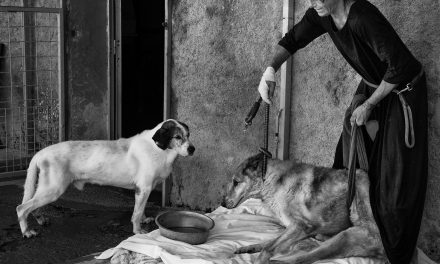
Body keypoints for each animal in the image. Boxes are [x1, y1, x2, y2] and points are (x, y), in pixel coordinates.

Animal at [16, 118, 194, 238]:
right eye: (178, 137)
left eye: (188, 135)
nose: (192, 149)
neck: (159, 149)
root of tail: (41, 152)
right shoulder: (143, 188)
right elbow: (136, 213)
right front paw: (137, 231)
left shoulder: (144, 191)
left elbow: (141, 209)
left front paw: (144, 220)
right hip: (53, 189)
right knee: (22, 208)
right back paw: (27, 232)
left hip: (47, 189)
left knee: (32, 206)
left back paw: (41, 220)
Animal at [223, 154, 384, 264]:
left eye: (236, 182)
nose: (223, 204)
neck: (270, 180)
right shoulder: (293, 229)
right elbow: (268, 243)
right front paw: (251, 247)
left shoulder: (301, 226)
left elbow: (268, 249)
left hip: (348, 233)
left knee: (305, 258)